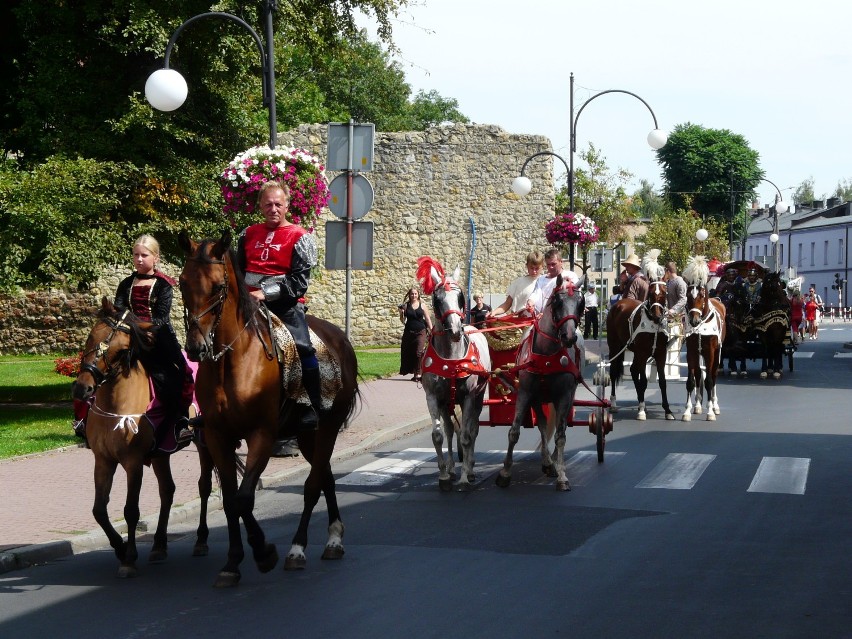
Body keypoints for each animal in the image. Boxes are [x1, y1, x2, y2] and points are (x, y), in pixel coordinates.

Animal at [71, 300, 215, 580]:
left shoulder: (133, 462)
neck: (117, 404)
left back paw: (201, 541)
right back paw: (158, 545)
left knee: (204, 486)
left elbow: (131, 510)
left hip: (204, 442)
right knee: (167, 490)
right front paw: (119, 548)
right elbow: (99, 509)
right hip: (161, 453)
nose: (83, 388)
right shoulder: (103, 460)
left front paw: (128, 558)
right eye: (91, 337)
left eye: (120, 350)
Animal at [178, 231, 358, 592]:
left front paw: (263, 553)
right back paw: (333, 538)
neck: (231, 362)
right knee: (326, 477)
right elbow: (230, 500)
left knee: (313, 485)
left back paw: (298, 549)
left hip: (327, 428)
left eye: (217, 286)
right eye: (182, 283)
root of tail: (341, 339)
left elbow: (245, 497)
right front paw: (232, 563)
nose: (195, 347)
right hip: (307, 436)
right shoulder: (217, 436)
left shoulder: (261, 434)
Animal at [416, 258, 490, 492]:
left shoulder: (468, 397)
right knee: (450, 430)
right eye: (437, 299)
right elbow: (438, 435)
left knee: (473, 428)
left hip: (478, 397)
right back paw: (450, 468)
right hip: (446, 403)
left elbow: (466, 436)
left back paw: (471, 467)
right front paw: (443, 475)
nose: (456, 330)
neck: (451, 359)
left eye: (460, 298)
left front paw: (465, 476)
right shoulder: (433, 397)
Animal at [604, 274, 676, 420]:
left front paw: (667, 410)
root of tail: (618, 305)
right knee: (614, 371)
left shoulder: (661, 354)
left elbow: (662, 381)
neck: (652, 325)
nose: (657, 316)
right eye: (651, 292)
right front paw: (641, 410)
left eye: (664, 292)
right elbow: (643, 381)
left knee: (632, 370)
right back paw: (614, 403)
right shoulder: (643, 354)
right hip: (615, 347)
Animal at [680, 258, 724, 422]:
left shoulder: (710, 352)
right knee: (699, 374)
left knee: (713, 375)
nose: (694, 320)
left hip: (716, 353)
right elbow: (691, 381)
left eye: (701, 295)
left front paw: (711, 411)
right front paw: (687, 410)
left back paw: (714, 405)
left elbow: (709, 381)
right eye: (688, 295)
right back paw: (698, 404)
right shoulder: (692, 351)